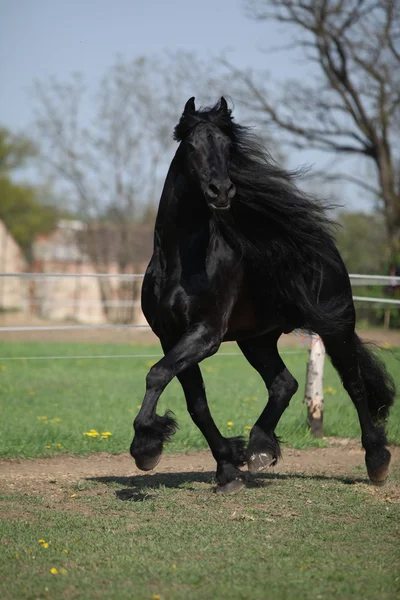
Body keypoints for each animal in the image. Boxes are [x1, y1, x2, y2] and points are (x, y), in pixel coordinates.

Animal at [130, 97, 394, 492]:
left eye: (228, 146)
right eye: (192, 146)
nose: (222, 191)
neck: (181, 261)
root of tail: (327, 251)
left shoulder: (205, 334)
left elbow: (157, 375)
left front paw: (146, 446)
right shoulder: (170, 335)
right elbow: (196, 403)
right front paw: (228, 467)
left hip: (336, 327)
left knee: (355, 385)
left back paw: (376, 461)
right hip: (257, 339)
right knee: (284, 384)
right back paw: (259, 449)